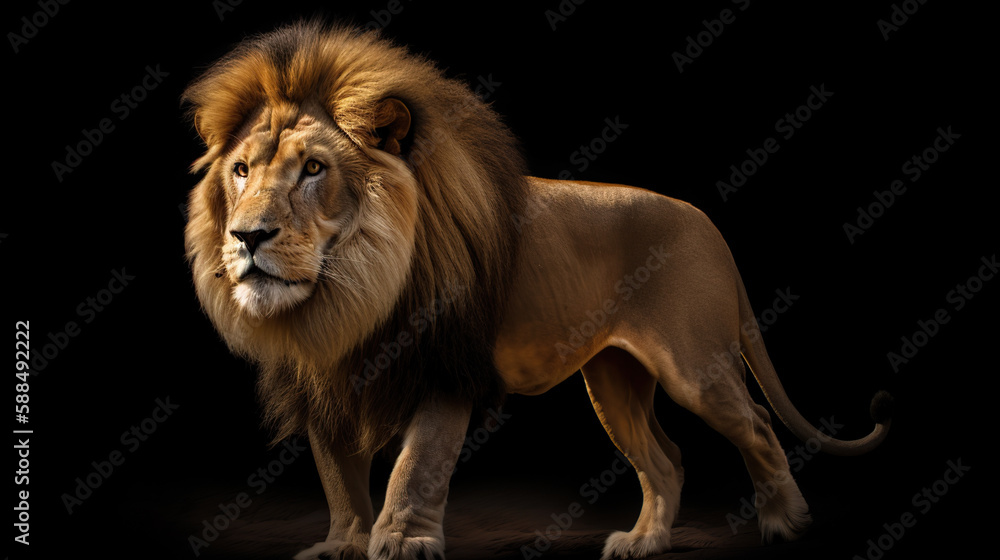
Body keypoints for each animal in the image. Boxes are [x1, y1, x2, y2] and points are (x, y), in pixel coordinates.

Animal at [182, 21, 892, 560]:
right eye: (240, 170)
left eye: (313, 169)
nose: (247, 236)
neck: (347, 297)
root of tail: (705, 222)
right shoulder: (320, 384)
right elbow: (339, 479)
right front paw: (345, 544)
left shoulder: (447, 368)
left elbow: (417, 465)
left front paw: (404, 541)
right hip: (614, 379)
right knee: (666, 459)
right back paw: (643, 543)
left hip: (695, 365)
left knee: (758, 427)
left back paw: (785, 523)